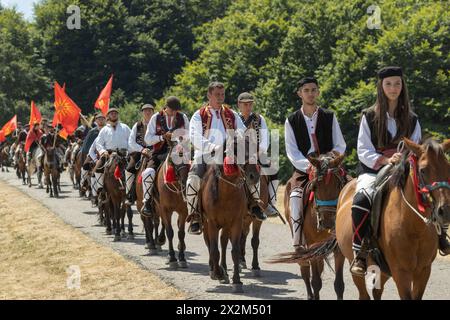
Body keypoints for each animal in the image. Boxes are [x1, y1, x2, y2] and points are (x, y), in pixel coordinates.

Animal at [200, 135, 260, 292]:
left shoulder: (236, 222)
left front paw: (237, 281)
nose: (254, 176)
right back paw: (215, 270)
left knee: (223, 242)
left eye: (254, 148)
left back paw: (225, 270)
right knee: (210, 244)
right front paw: (218, 274)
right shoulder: (212, 223)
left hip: (227, 225)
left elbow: (234, 250)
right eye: (237, 150)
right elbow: (214, 249)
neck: (226, 192)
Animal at [270, 152, 348, 300]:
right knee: (304, 268)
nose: (328, 222)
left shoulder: (338, 248)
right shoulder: (311, 245)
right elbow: (316, 282)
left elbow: (339, 285)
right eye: (315, 187)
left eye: (338, 185)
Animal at [336, 138, 448, 300]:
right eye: (423, 170)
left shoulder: (424, 270)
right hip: (355, 265)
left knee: (377, 291)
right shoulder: (401, 272)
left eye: (448, 167)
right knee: (364, 293)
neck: (415, 228)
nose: (445, 210)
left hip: (384, 270)